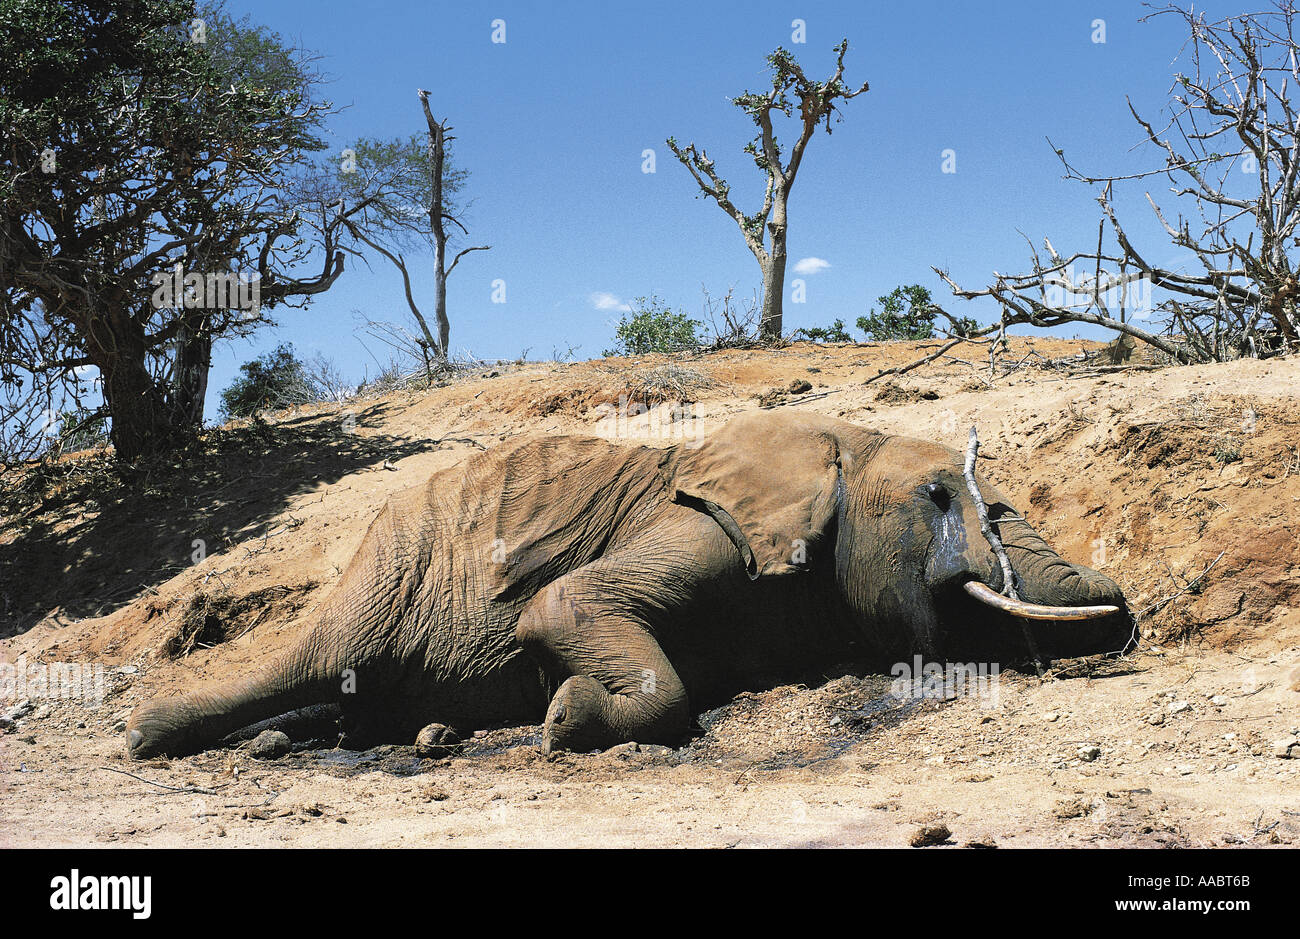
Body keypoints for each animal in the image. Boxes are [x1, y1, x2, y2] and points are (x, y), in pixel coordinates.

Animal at [126, 410, 1133, 759]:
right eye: (936, 496)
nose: (1125, 608)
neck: (840, 439)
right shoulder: (711, 524)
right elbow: (565, 603)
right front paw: (567, 714)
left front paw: (562, 707)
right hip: (386, 567)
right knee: (317, 657)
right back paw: (148, 737)